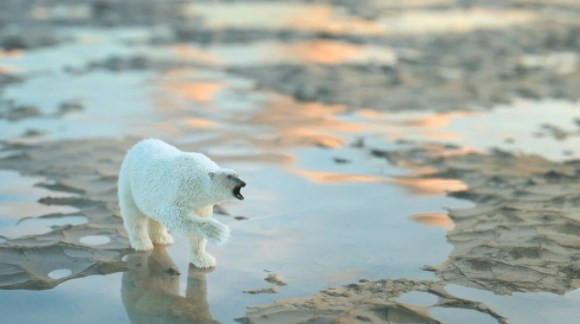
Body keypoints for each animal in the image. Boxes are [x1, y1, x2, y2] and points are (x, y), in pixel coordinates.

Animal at [116, 138, 246, 268]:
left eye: (237, 174)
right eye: (229, 176)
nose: (243, 183)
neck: (198, 183)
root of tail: (140, 143)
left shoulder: (202, 205)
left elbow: (197, 235)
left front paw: (203, 260)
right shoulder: (179, 190)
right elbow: (175, 216)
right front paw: (219, 232)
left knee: (154, 219)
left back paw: (163, 238)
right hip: (129, 182)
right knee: (134, 215)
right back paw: (143, 244)